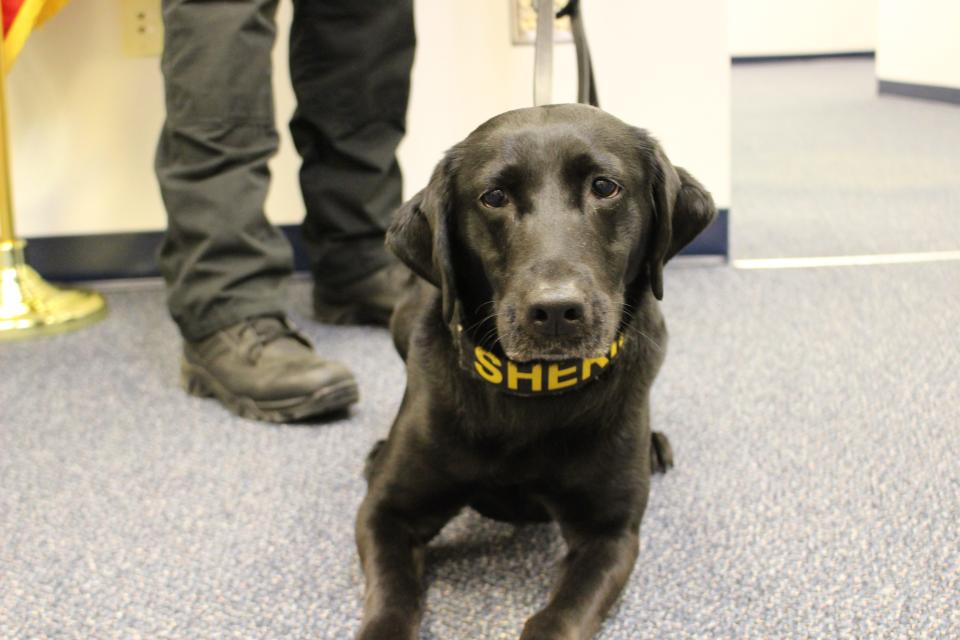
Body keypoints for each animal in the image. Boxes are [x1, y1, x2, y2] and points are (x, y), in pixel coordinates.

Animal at [352, 102, 712, 636]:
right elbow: (392, 599)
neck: (533, 388)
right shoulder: (385, 513)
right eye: (494, 197)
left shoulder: (611, 534)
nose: (557, 311)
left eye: (604, 186)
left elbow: (558, 617)